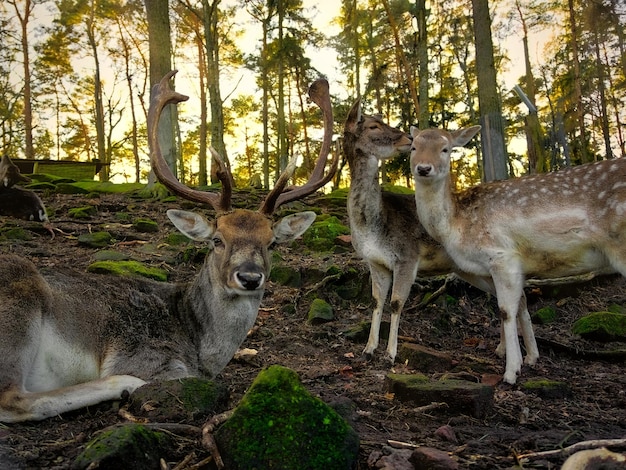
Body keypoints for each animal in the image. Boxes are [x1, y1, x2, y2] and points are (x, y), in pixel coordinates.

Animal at [0, 72, 336, 422]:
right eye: (217, 240)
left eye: (271, 243)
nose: (249, 277)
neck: (200, 347)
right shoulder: (142, 354)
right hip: (18, 301)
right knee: (12, 400)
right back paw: (126, 384)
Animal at [408, 126, 624, 386]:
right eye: (413, 146)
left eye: (445, 149)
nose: (423, 168)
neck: (456, 226)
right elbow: (520, 302)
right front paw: (530, 357)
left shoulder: (502, 255)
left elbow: (506, 310)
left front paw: (512, 371)